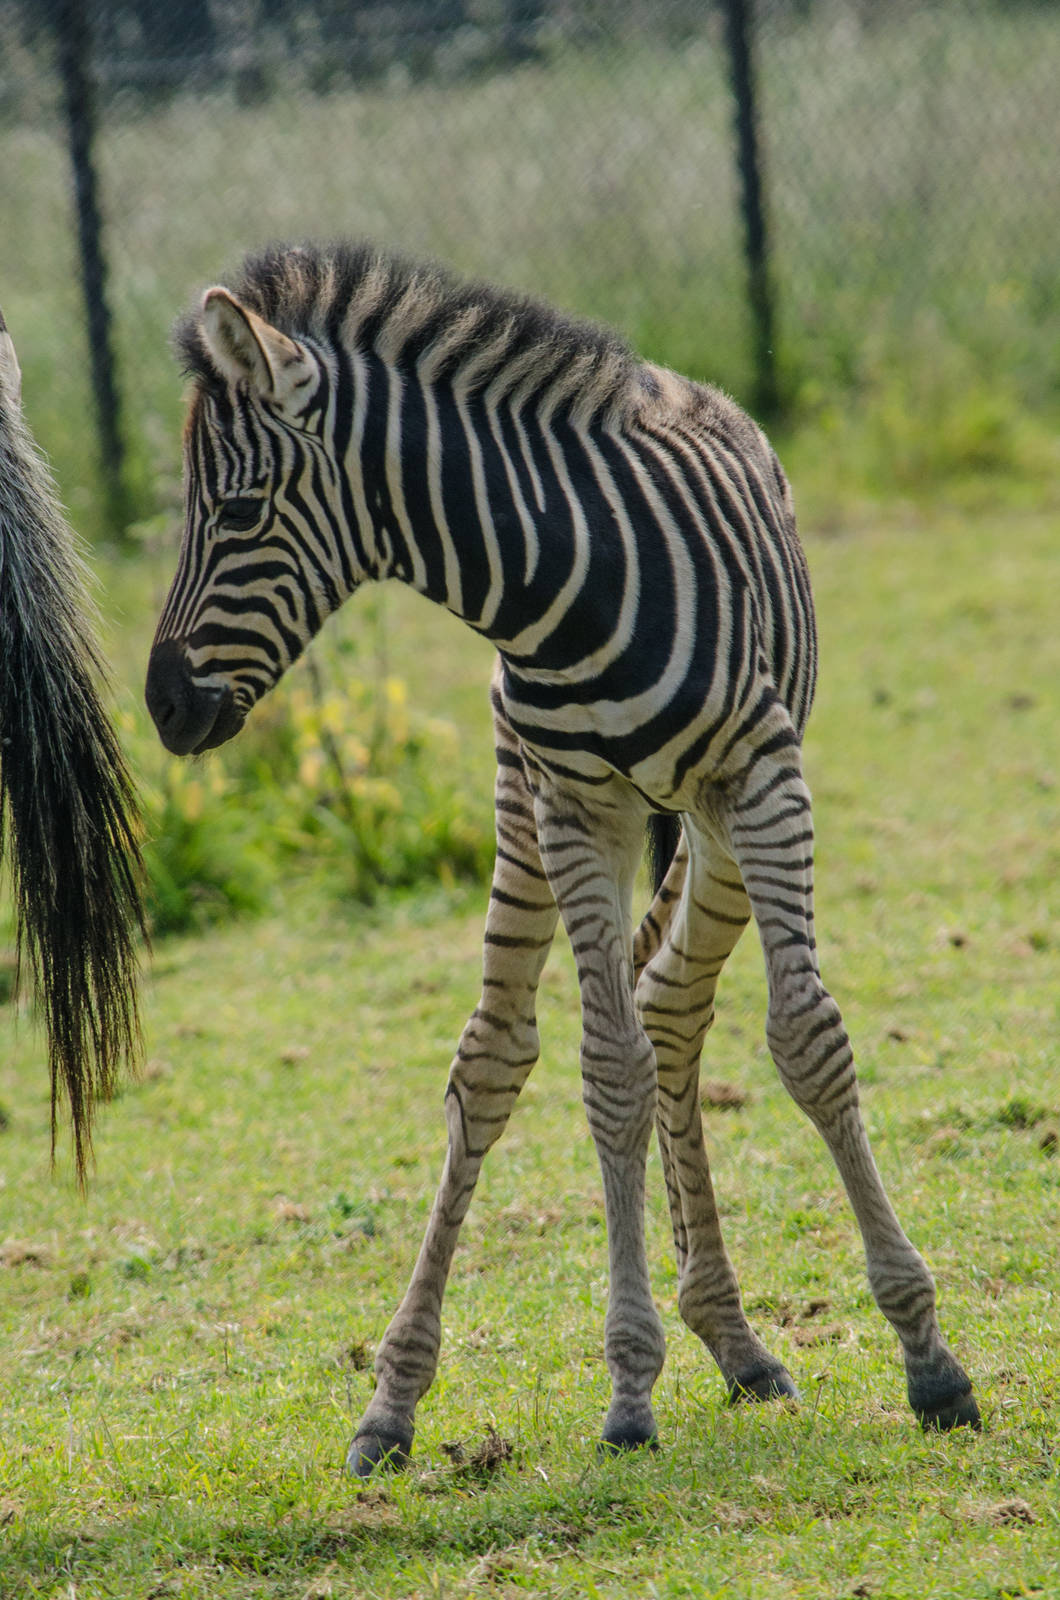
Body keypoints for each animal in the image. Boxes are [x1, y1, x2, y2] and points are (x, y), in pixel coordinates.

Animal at [145, 241, 979, 1473]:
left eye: (239, 509)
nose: (161, 706)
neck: (558, 587)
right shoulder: (576, 809)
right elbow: (609, 1073)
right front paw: (629, 1388)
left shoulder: (761, 775)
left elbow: (808, 1043)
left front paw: (929, 1359)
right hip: (525, 807)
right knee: (501, 1057)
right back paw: (404, 1399)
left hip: (720, 823)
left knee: (675, 1003)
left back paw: (734, 1338)